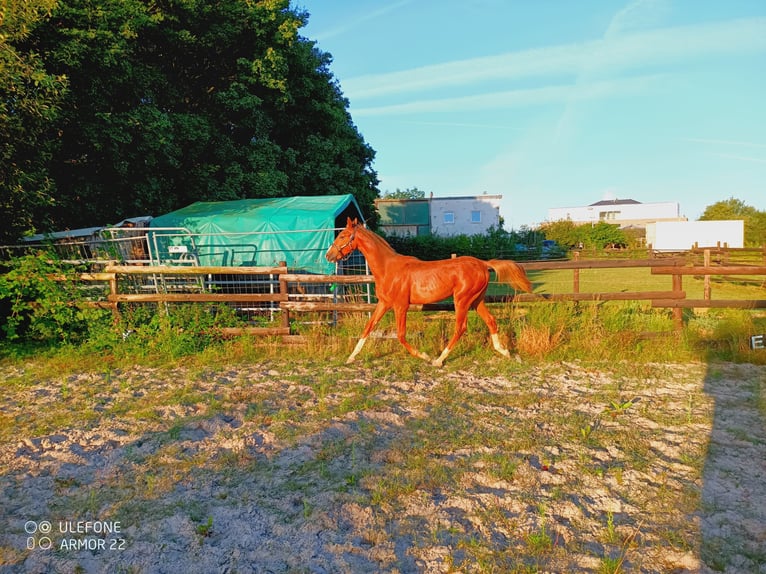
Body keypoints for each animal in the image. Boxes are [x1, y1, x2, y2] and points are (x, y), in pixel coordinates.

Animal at [326, 218, 536, 366]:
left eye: (343, 236)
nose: (329, 255)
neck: (388, 268)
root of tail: (483, 264)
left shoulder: (400, 306)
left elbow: (401, 335)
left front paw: (425, 356)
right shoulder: (384, 304)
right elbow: (368, 327)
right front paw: (351, 357)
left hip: (462, 300)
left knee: (460, 328)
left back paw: (438, 360)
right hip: (477, 301)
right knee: (491, 321)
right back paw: (506, 353)